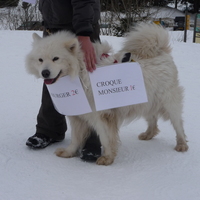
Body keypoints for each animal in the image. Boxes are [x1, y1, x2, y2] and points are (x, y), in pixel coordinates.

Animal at [25, 23, 188, 165]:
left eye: (56, 58)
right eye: (40, 60)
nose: (45, 73)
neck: (80, 73)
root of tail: (161, 51)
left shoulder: (102, 116)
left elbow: (106, 138)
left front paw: (107, 158)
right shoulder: (77, 117)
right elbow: (76, 138)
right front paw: (68, 153)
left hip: (169, 103)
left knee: (178, 125)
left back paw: (181, 145)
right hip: (145, 101)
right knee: (153, 119)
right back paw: (148, 134)